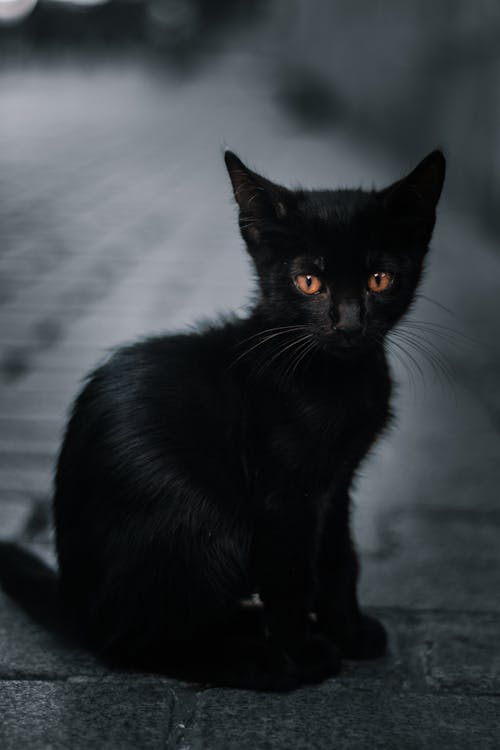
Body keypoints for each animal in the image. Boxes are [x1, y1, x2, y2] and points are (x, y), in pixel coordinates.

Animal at [53, 148, 446, 692]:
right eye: (309, 282)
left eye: (378, 280)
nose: (349, 324)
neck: (336, 380)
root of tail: (75, 604)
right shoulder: (284, 496)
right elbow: (292, 575)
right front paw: (302, 649)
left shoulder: (337, 483)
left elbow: (339, 558)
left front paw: (348, 630)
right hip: (203, 518)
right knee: (134, 640)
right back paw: (260, 662)